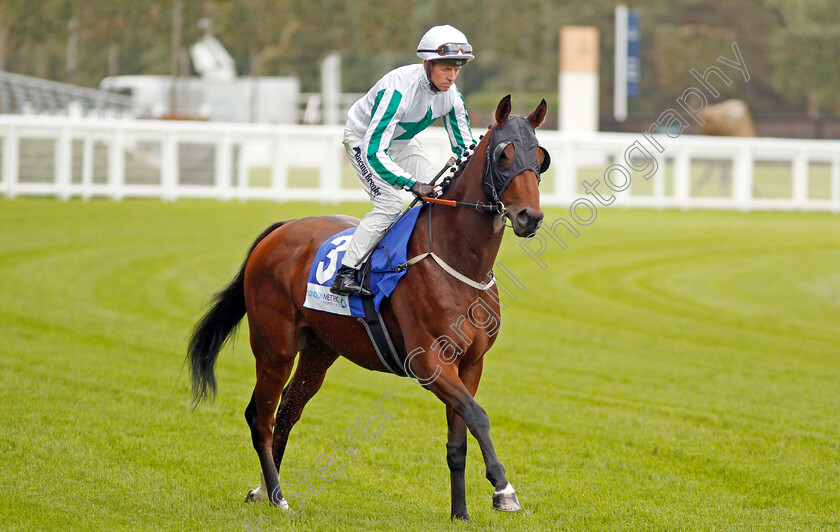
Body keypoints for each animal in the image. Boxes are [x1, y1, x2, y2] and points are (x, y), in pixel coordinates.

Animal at [187, 95, 548, 520]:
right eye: (504, 154)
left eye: (540, 157)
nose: (530, 217)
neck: (457, 260)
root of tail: (281, 229)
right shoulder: (429, 363)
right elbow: (478, 415)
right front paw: (504, 490)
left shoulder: (470, 365)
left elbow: (458, 439)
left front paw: (460, 512)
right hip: (274, 348)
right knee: (262, 417)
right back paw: (277, 496)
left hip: (319, 350)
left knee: (287, 410)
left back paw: (262, 490)